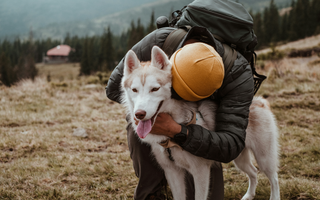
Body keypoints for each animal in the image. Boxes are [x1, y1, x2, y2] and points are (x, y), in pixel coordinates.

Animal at [120, 45, 280, 200]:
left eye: (155, 89)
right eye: (134, 90)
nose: (139, 114)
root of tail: (259, 101)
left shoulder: (201, 171)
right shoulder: (172, 172)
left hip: (264, 158)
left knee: (274, 178)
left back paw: (274, 196)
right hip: (239, 158)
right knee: (253, 172)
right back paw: (249, 195)